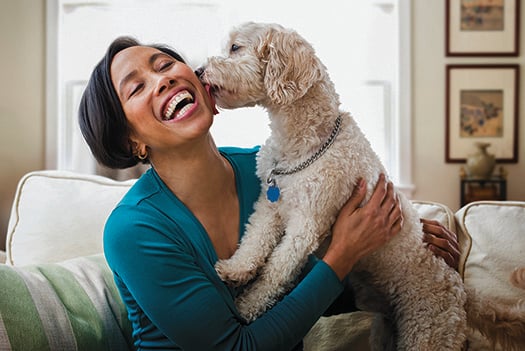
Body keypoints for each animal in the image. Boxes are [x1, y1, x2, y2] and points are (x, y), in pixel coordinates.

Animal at [199, 22, 520, 351]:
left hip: (427, 331)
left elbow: (275, 271)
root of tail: (461, 289)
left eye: (235, 48)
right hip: (384, 332)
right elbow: (254, 241)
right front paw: (235, 269)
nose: (198, 71)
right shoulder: (270, 204)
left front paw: (246, 307)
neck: (305, 142)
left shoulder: (307, 224)